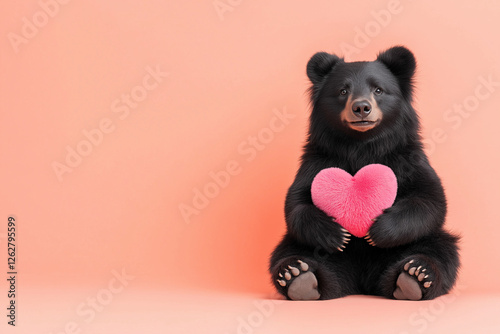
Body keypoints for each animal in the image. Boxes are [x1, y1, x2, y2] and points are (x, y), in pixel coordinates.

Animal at [272, 46, 458, 300]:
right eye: (343, 91)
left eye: (378, 89)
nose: (361, 108)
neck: (362, 145)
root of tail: (362, 282)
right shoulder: (317, 162)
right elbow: (296, 204)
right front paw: (336, 233)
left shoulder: (407, 159)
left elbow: (430, 200)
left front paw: (376, 230)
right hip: (303, 248)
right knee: (289, 252)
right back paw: (298, 276)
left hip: (423, 243)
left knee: (441, 249)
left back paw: (415, 276)